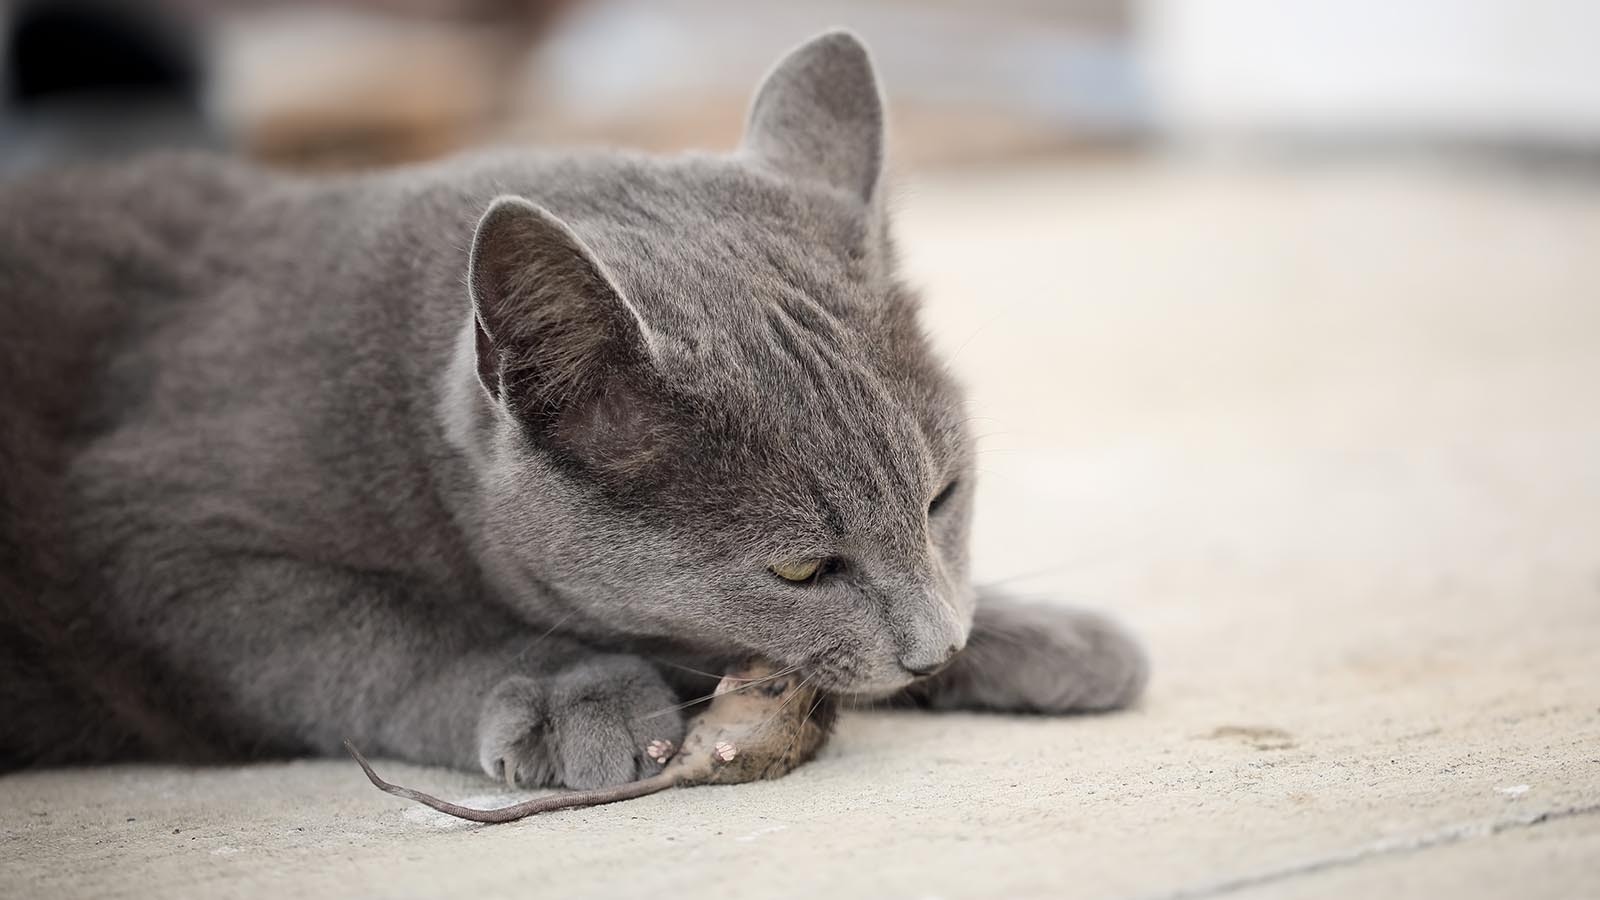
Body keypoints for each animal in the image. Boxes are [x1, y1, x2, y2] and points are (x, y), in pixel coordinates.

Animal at [3, 29, 1152, 784]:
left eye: (942, 499)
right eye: (800, 570)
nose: (935, 651)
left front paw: (1041, 631)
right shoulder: (156, 536)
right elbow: (384, 631)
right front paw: (573, 694)